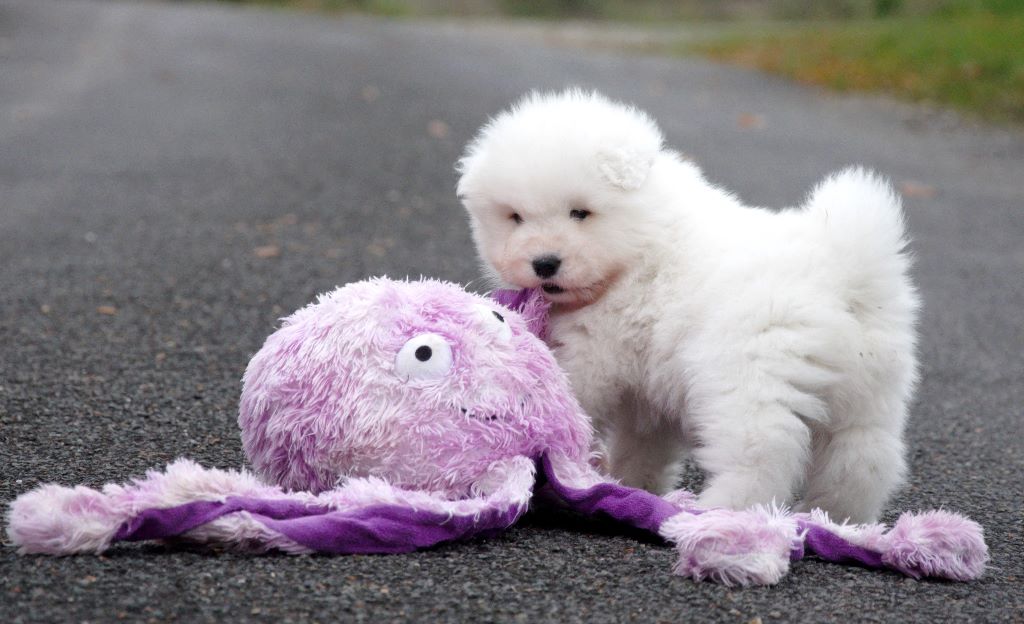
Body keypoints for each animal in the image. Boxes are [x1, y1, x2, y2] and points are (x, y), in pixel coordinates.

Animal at [456, 90, 920, 523]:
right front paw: (631, 485)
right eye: (515, 217)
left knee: (763, 450)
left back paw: (719, 511)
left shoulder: (596, 350)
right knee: (865, 457)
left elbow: (578, 396)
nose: (544, 263)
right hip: (870, 392)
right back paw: (838, 515)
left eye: (580, 212)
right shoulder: (648, 390)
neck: (641, 242)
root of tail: (845, 269)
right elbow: (644, 445)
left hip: (748, 376)